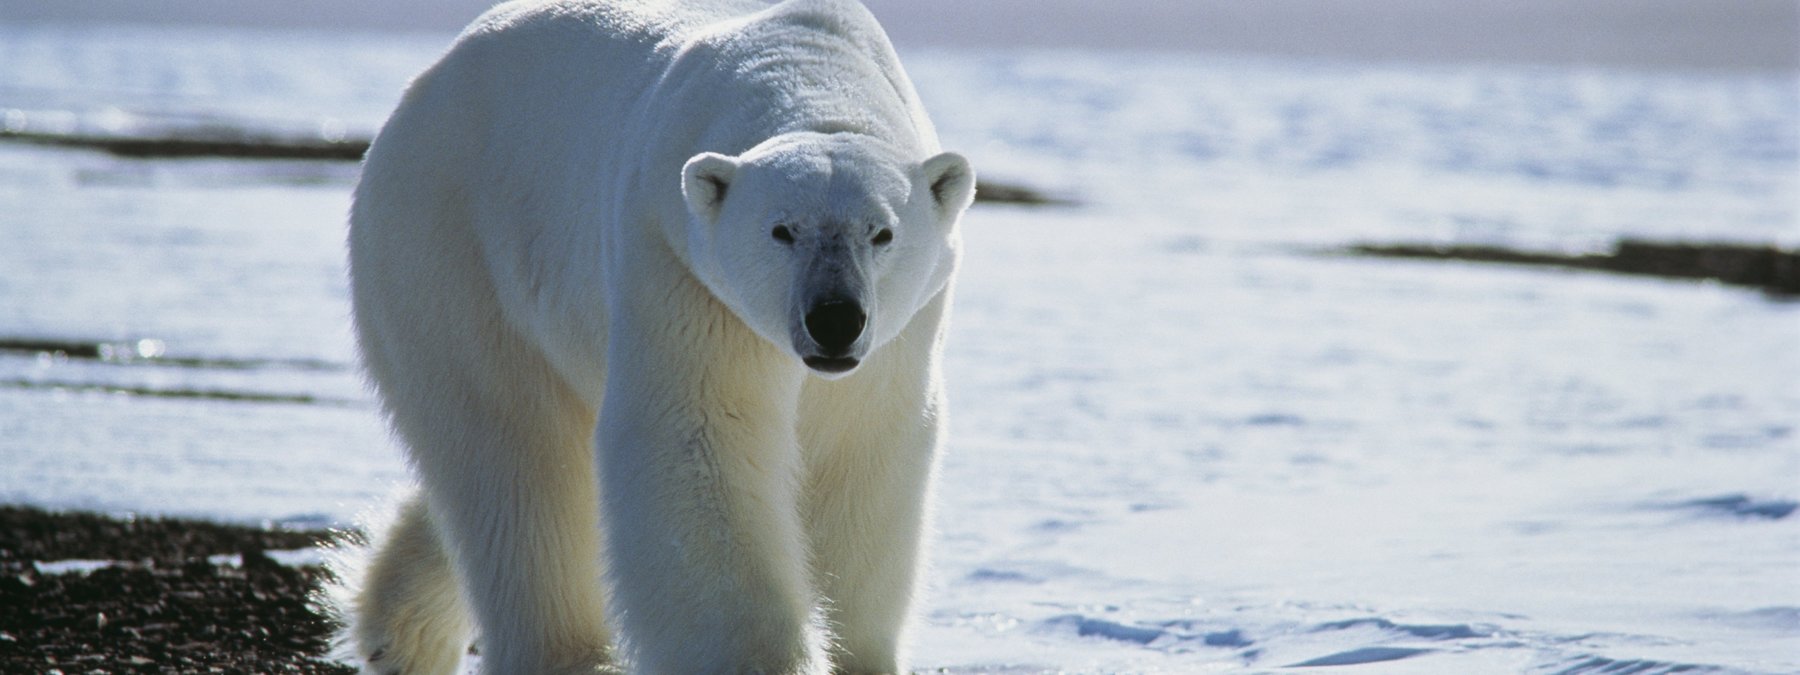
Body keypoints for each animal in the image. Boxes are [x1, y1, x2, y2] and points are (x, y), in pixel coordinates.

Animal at [343, 0, 979, 673]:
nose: (835, 319)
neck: (811, 72)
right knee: (515, 460)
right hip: (453, 249)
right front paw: (760, 658)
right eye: (782, 230)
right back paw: (557, 650)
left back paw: (397, 625)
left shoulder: (899, 334)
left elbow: (860, 449)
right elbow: (698, 438)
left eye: (881, 233)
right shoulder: (680, 267)